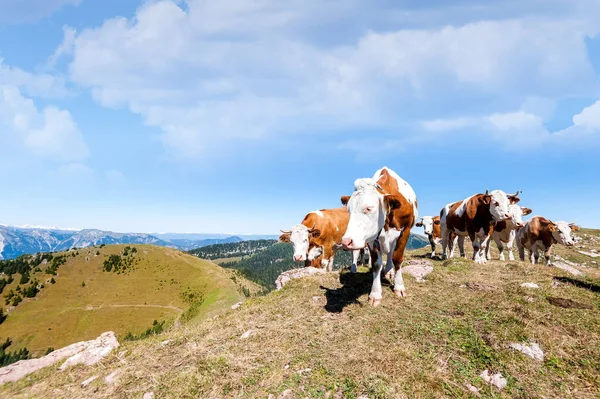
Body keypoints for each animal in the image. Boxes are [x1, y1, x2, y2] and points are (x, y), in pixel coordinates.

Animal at [338, 166, 418, 306]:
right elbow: (376, 264)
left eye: (369, 208)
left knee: (391, 254)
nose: (346, 242)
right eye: (349, 210)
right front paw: (375, 294)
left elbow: (397, 259)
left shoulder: (405, 230)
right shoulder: (371, 238)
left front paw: (399, 286)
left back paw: (390, 271)